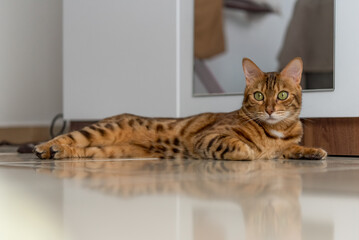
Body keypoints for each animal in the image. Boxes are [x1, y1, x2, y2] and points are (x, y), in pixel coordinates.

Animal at [34, 57, 330, 160]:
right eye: (258, 95)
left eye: (282, 95)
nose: (269, 109)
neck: (276, 130)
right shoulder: (208, 137)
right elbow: (236, 146)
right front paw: (250, 152)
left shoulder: (286, 145)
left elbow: (292, 149)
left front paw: (312, 151)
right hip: (104, 130)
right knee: (69, 136)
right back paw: (45, 147)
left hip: (108, 153)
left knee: (85, 150)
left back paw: (60, 152)